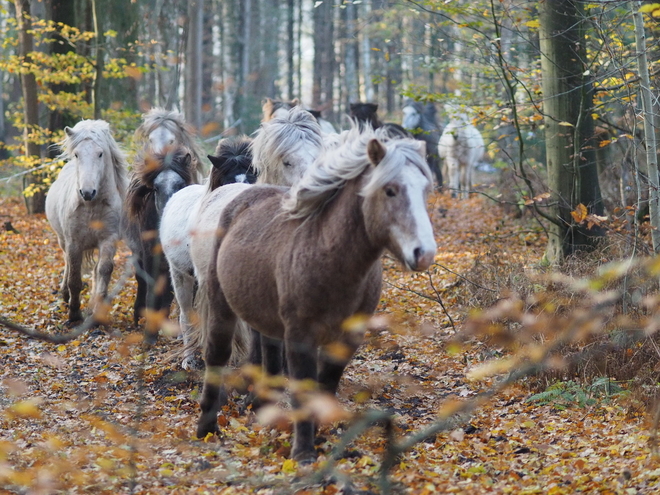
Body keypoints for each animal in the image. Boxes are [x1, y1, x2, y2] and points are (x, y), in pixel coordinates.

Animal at [193, 127, 436, 462]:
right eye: (390, 190)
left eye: (424, 190)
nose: (423, 253)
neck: (327, 254)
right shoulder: (300, 335)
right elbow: (304, 390)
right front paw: (304, 452)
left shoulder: (347, 338)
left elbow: (326, 386)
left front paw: (320, 439)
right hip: (221, 306)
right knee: (217, 356)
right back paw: (207, 428)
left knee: (268, 356)